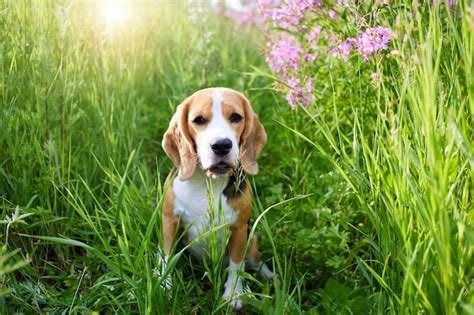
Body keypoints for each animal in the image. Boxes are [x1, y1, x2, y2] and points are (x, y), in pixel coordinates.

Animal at [161, 87, 274, 310]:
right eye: (198, 120)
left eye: (236, 117)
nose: (221, 145)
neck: (209, 182)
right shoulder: (169, 220)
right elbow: (166, 257)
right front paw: (163, 286)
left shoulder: (239, 228)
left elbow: (236, 264)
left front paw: (234, 294)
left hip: (252, 238)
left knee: (255, 261)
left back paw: (269, 276)